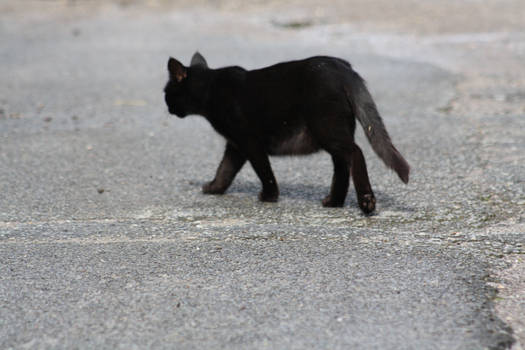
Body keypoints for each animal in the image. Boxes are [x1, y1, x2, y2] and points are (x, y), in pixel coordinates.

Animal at [164, 52, 410, 213]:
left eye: (166, 92)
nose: (166, 106)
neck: (211, 89)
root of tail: (342, 68)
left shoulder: (248, 142)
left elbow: (263, 170)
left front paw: (269, 196)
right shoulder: (235, 146)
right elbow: (225, 169)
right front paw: (214, 188)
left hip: (327, 128)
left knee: (355, 153)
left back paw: (366, 203)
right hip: (334, 132)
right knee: (342, 164)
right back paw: (333, 202)